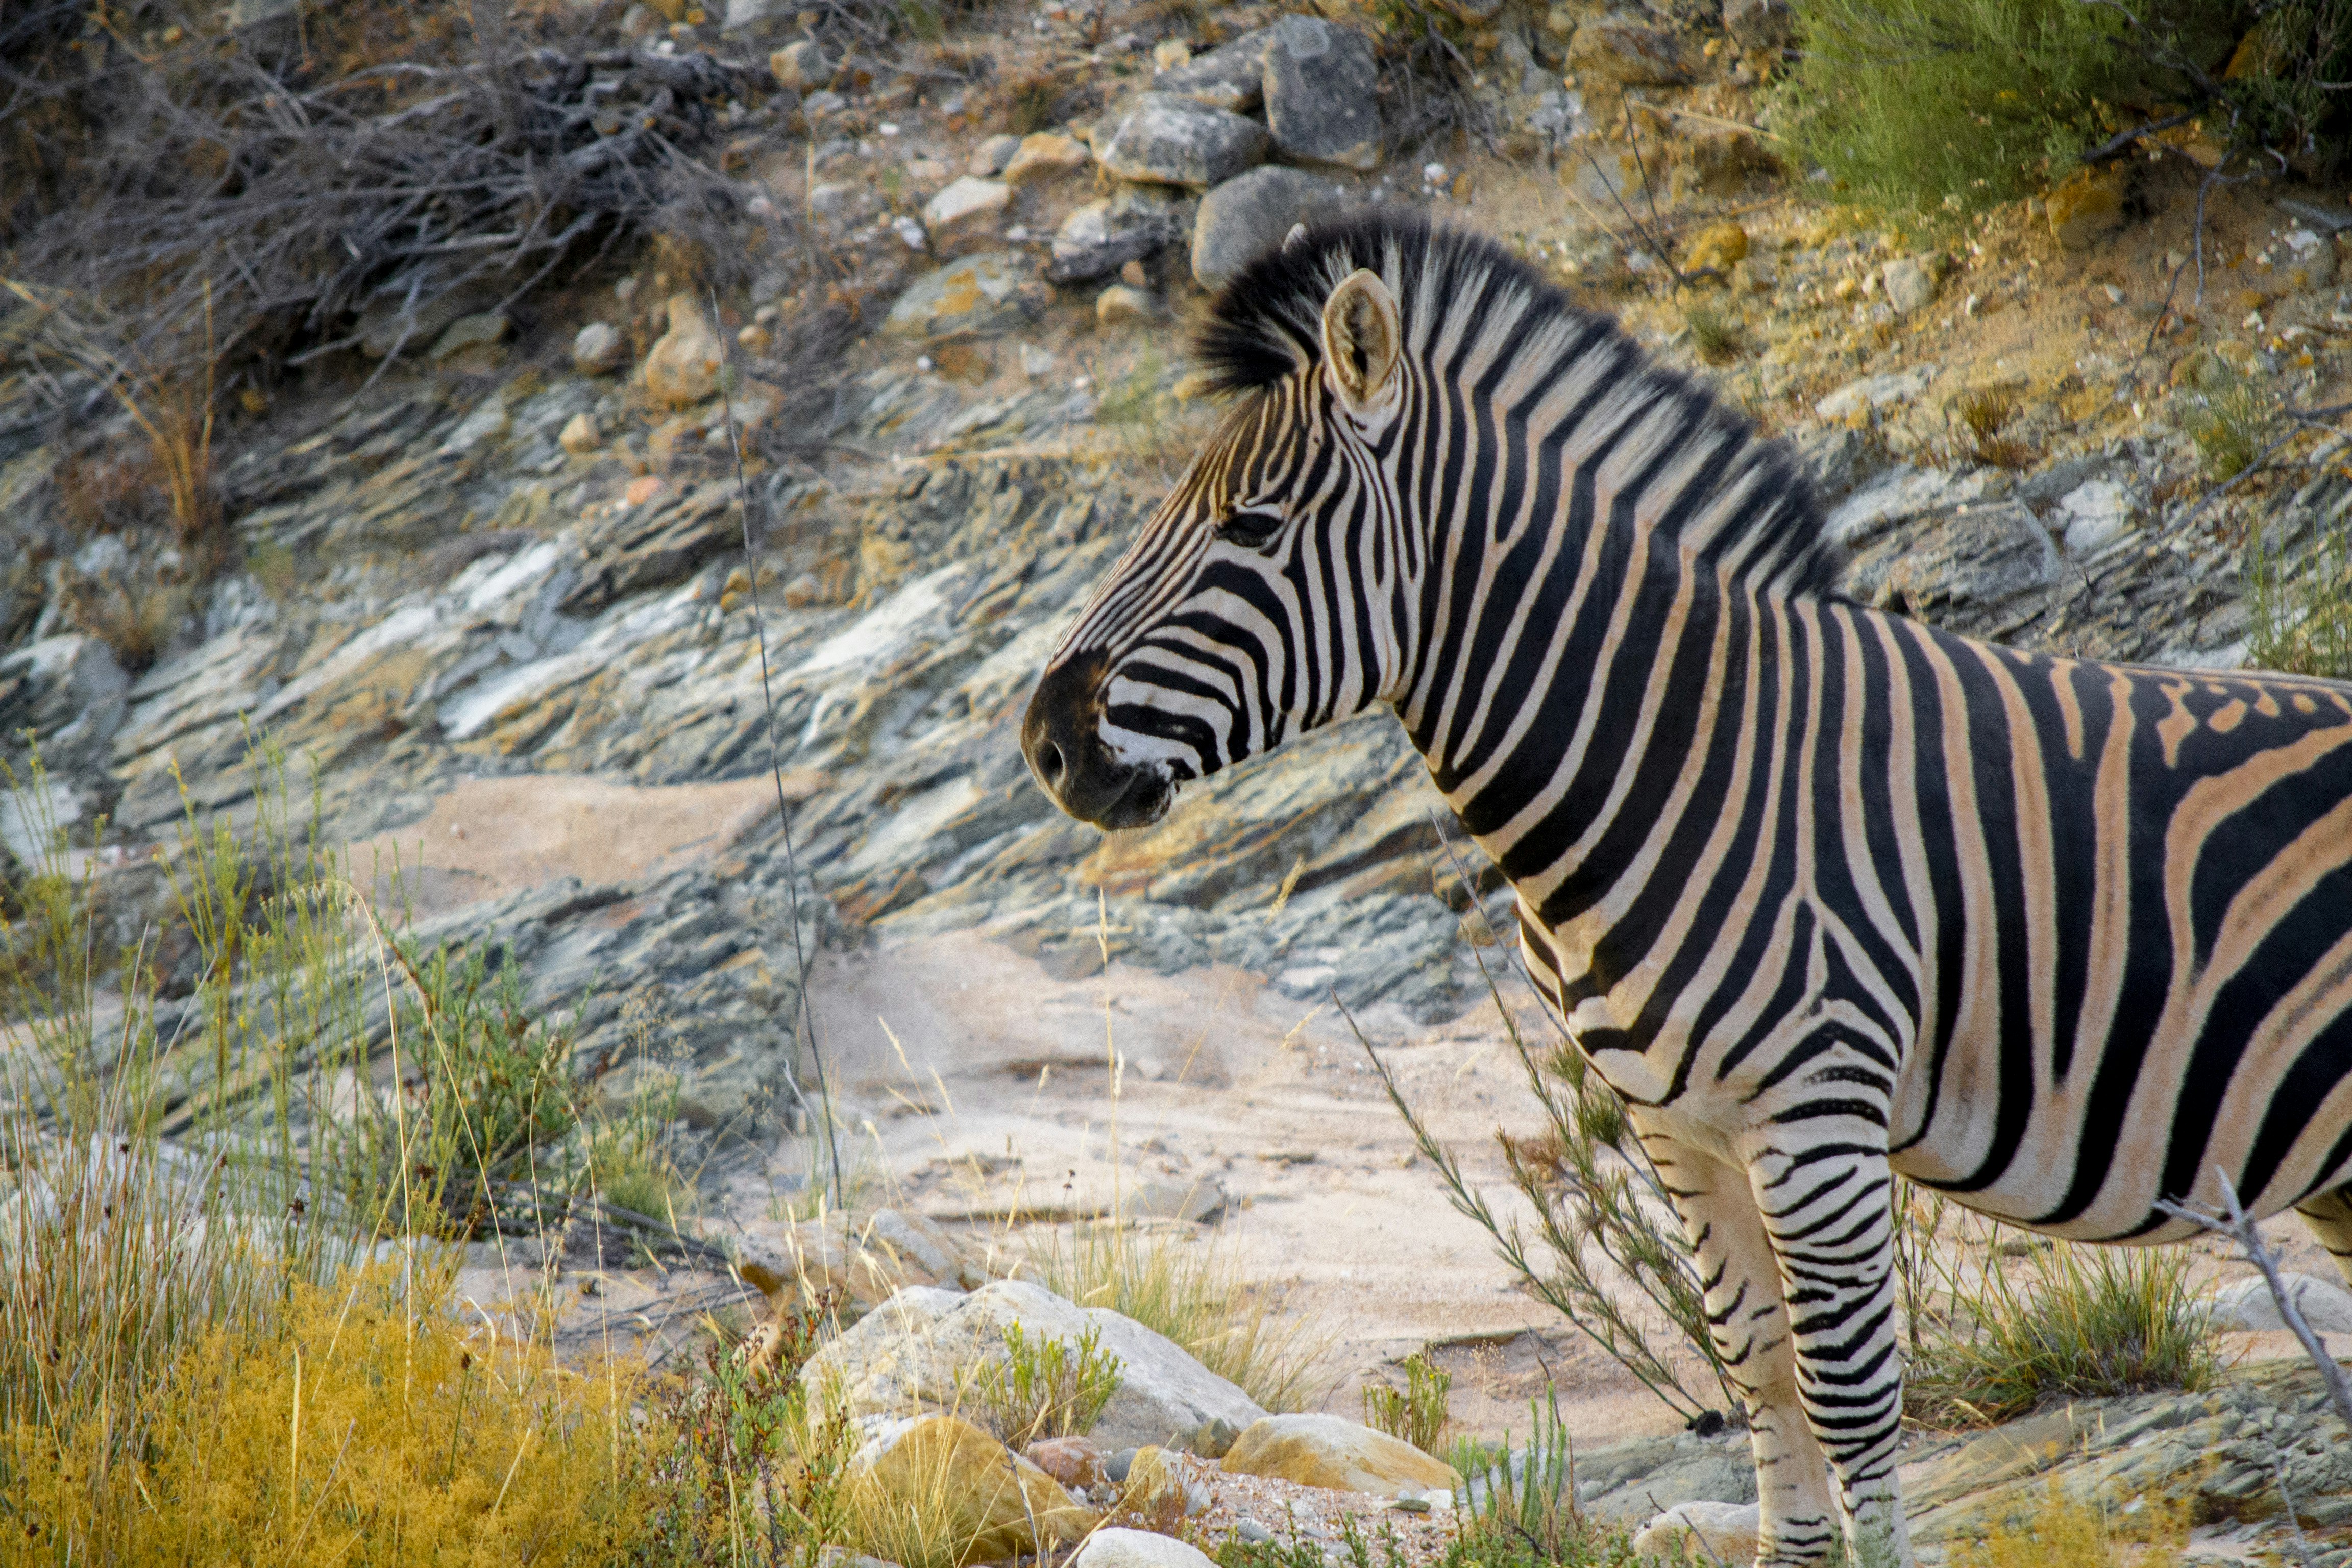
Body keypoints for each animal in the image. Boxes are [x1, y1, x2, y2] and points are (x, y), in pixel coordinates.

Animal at [1019, 212, 2352, 1565]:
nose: (1045, 743)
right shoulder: (1679, 1125)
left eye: (1252, 525)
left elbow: (1850, 1394)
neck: (1682, 753)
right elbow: (1755, 1364)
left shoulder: (1816, 1117)